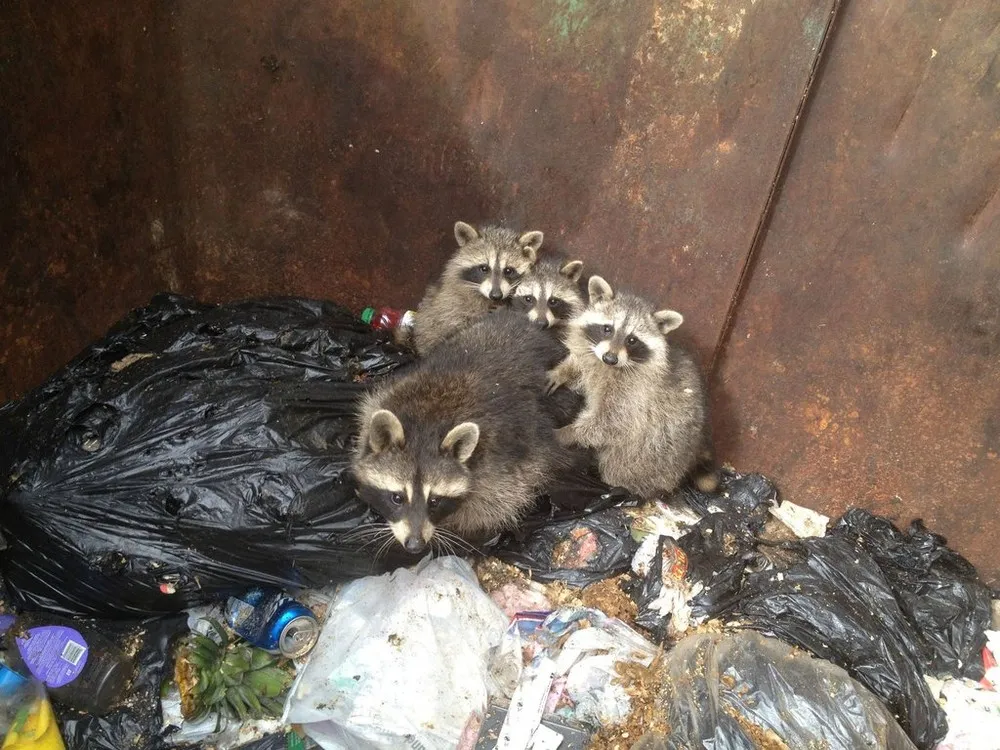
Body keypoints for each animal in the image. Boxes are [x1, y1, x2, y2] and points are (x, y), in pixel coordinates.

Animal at [353, 308, 574, 553]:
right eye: (397, 498)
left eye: (434, 501)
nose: (415, 545)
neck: (426, 424)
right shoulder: (381, 400)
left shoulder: (505, 467)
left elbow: (493, 509)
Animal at [547, 275, 717, 498]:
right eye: (607, 329)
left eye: (632, 340)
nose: (610, 358)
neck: (609, 367)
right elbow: (581, 367)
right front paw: (563, 371)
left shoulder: (634, 394)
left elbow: (612, 423)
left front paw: (567, 433)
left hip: (653, 458)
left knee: (620, 466)